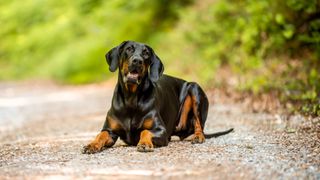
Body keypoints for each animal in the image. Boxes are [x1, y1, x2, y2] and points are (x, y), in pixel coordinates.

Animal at [82, 40, 232, 153]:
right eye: (129, 49)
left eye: (146, 53)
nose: (137, 61)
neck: (131, 98)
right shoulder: (110, 130)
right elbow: (101, 134)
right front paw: (92, 144)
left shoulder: (161, 130)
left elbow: (145, 131)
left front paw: (144, 143)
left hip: (194, 88)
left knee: (199, 124)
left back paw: (198, 137)